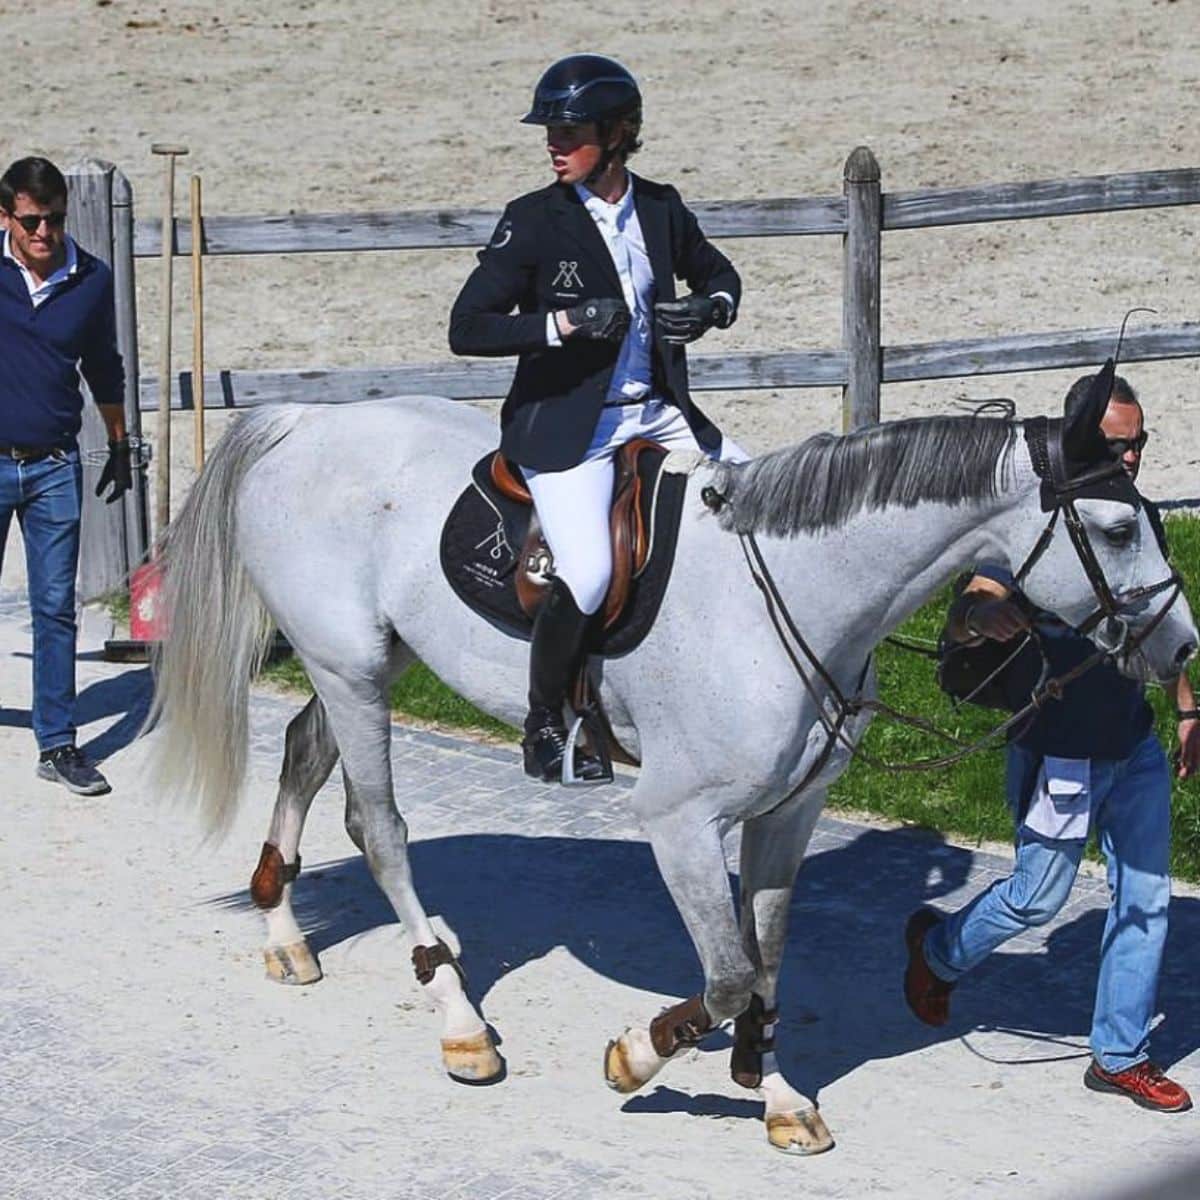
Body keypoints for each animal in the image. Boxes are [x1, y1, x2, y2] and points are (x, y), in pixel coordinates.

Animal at [147, 388, 1190, 1156]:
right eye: (1115, 526)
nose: (1181, 647)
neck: (795, 591)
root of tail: (308, 418)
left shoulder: (789, 813)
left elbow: (765, 959)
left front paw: (776, 1095)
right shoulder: (681, 822)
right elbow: (725, 977)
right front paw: (637, 1054)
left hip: (367, 666)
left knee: (307, 759)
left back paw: (287, 931)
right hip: (352, 670)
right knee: (383, 831)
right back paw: (457, 1020)